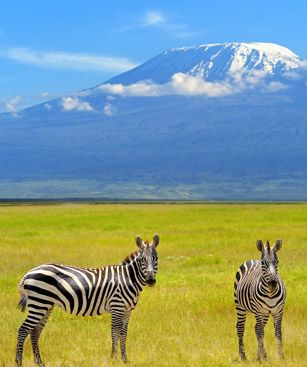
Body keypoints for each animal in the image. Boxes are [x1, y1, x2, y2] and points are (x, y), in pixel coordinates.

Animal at [15, 234, 160, 366]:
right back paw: (19, 362)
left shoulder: (127, 310)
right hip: (39, 303)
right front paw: (113, 359)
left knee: (35, 332)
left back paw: (39, 363)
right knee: (23, 330)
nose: (151, 280)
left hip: (45, 305)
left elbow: (123, 334)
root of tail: (29, 272)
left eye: (156, 258)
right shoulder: (117, 307)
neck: (127, 279)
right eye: (142, 260)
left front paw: (125, 360)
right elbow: (115, 333)